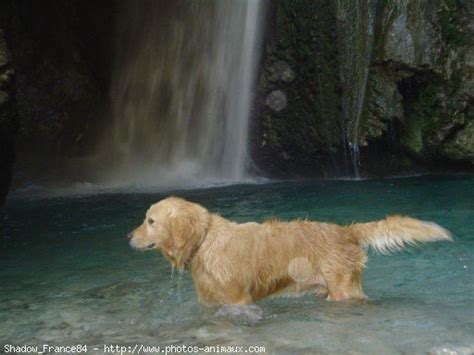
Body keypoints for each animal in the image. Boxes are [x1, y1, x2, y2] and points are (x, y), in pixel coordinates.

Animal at [127, 197, 452, 306]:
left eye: (150, 221)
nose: (128, 236)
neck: (204, 240)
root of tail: (346, 230)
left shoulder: (238, 299)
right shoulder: (209, 302)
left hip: (343, 291)